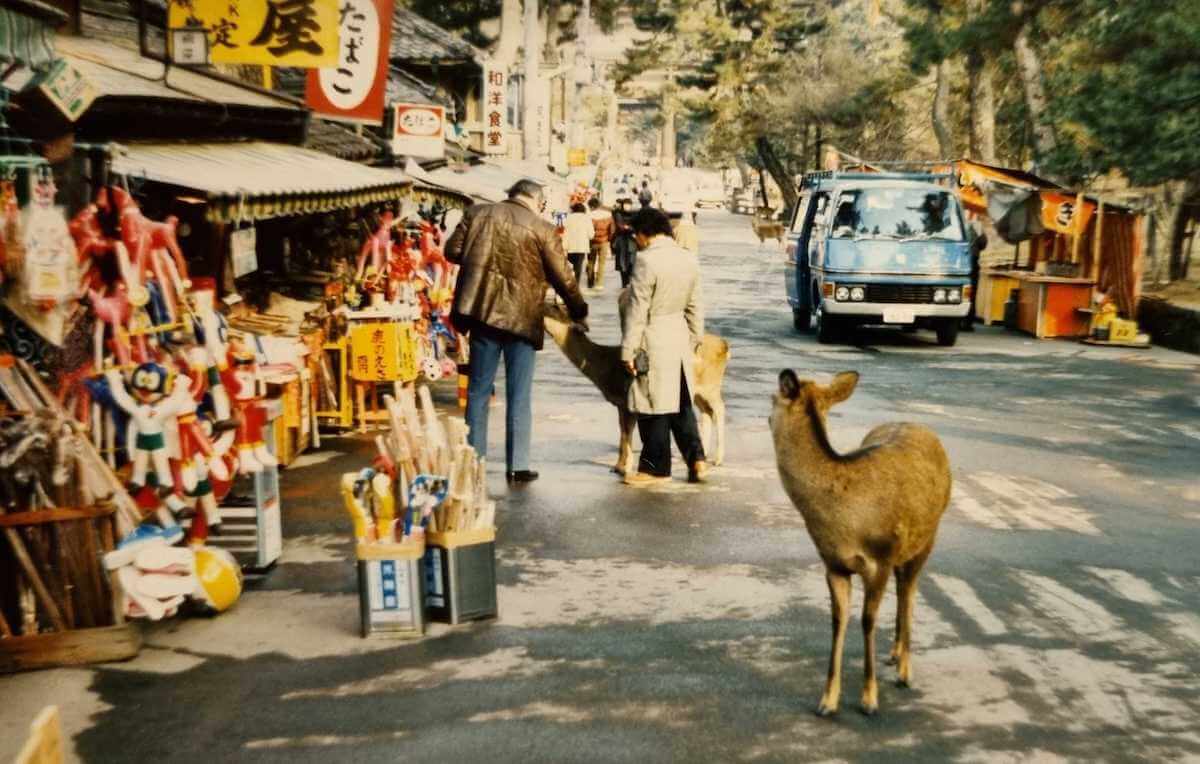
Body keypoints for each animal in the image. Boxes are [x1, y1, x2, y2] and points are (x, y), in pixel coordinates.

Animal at [772, 369, 950, 714]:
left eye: (772, 400)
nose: (766, 416)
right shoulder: (833, 564)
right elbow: (838, 621)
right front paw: (828, 700)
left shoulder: (880, 558)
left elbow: (867, 621)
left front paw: (869, 699)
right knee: (904, 587)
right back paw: (895, 653)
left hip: (928, 536)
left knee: (910, 590)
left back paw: (905, 670)